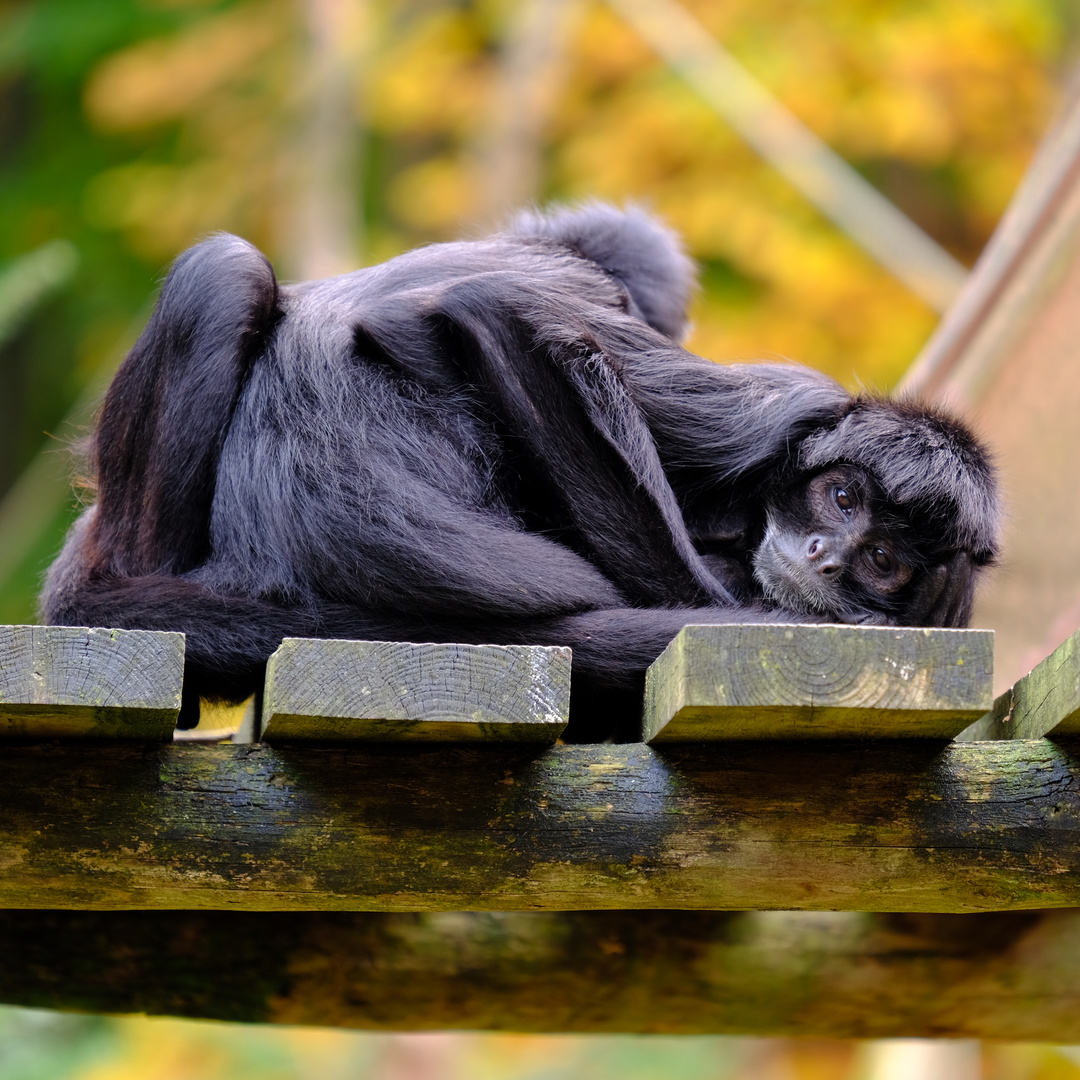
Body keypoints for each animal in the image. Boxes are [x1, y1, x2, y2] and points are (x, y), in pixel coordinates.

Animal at [42, 203, 1002, 743]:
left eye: (882, 560)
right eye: (839, 497)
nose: (825, 558)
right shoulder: (786, 408)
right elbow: (490, 308)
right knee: (231, 268)